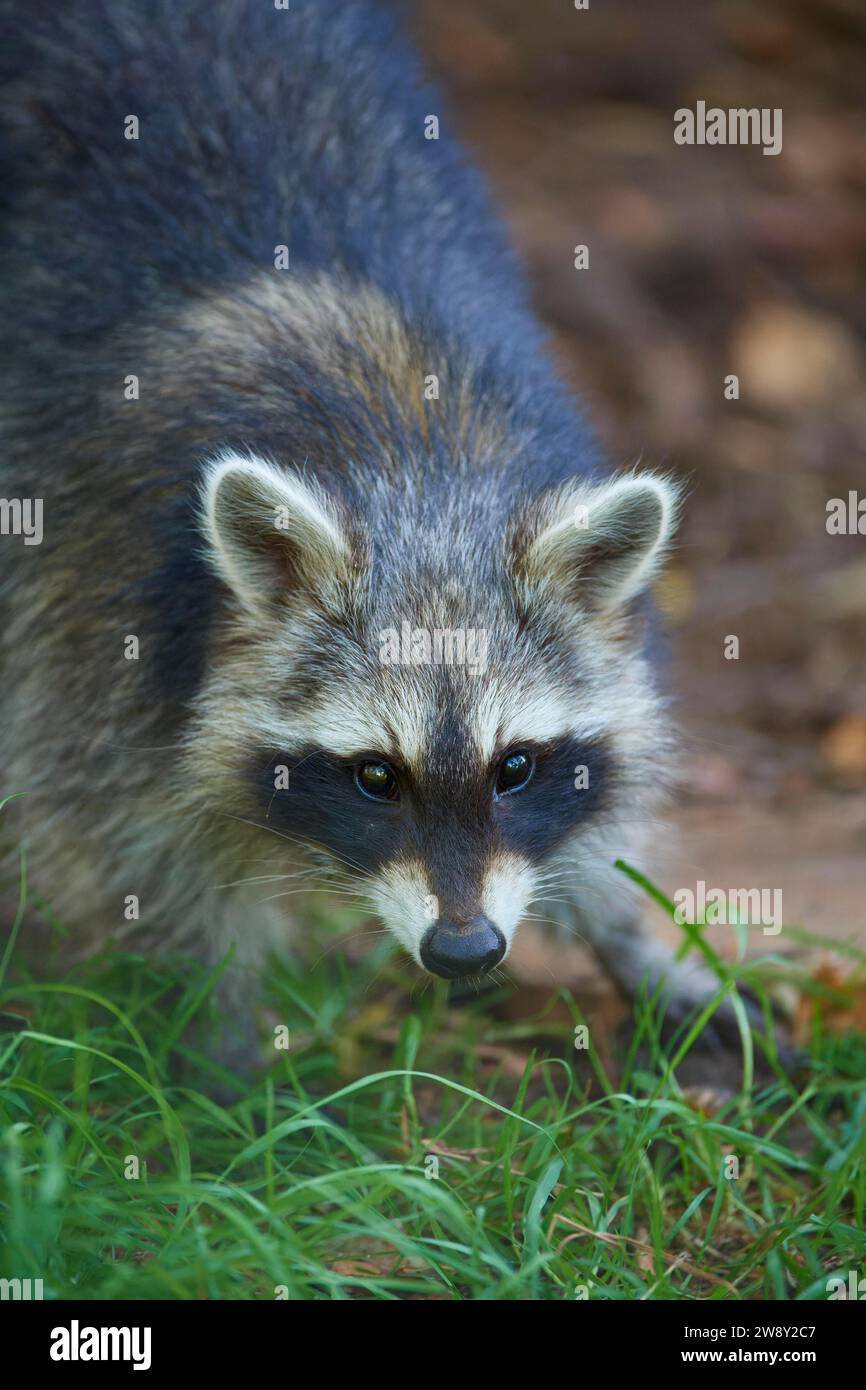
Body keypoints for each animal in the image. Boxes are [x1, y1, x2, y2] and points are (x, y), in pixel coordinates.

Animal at [0, 0, 734, 1064]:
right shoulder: (91, 598)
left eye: (516, 768)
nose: (467, 951)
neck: (417, 470)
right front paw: (212, 1041)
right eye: (374, 777)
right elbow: (127, 843)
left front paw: (626, 925)